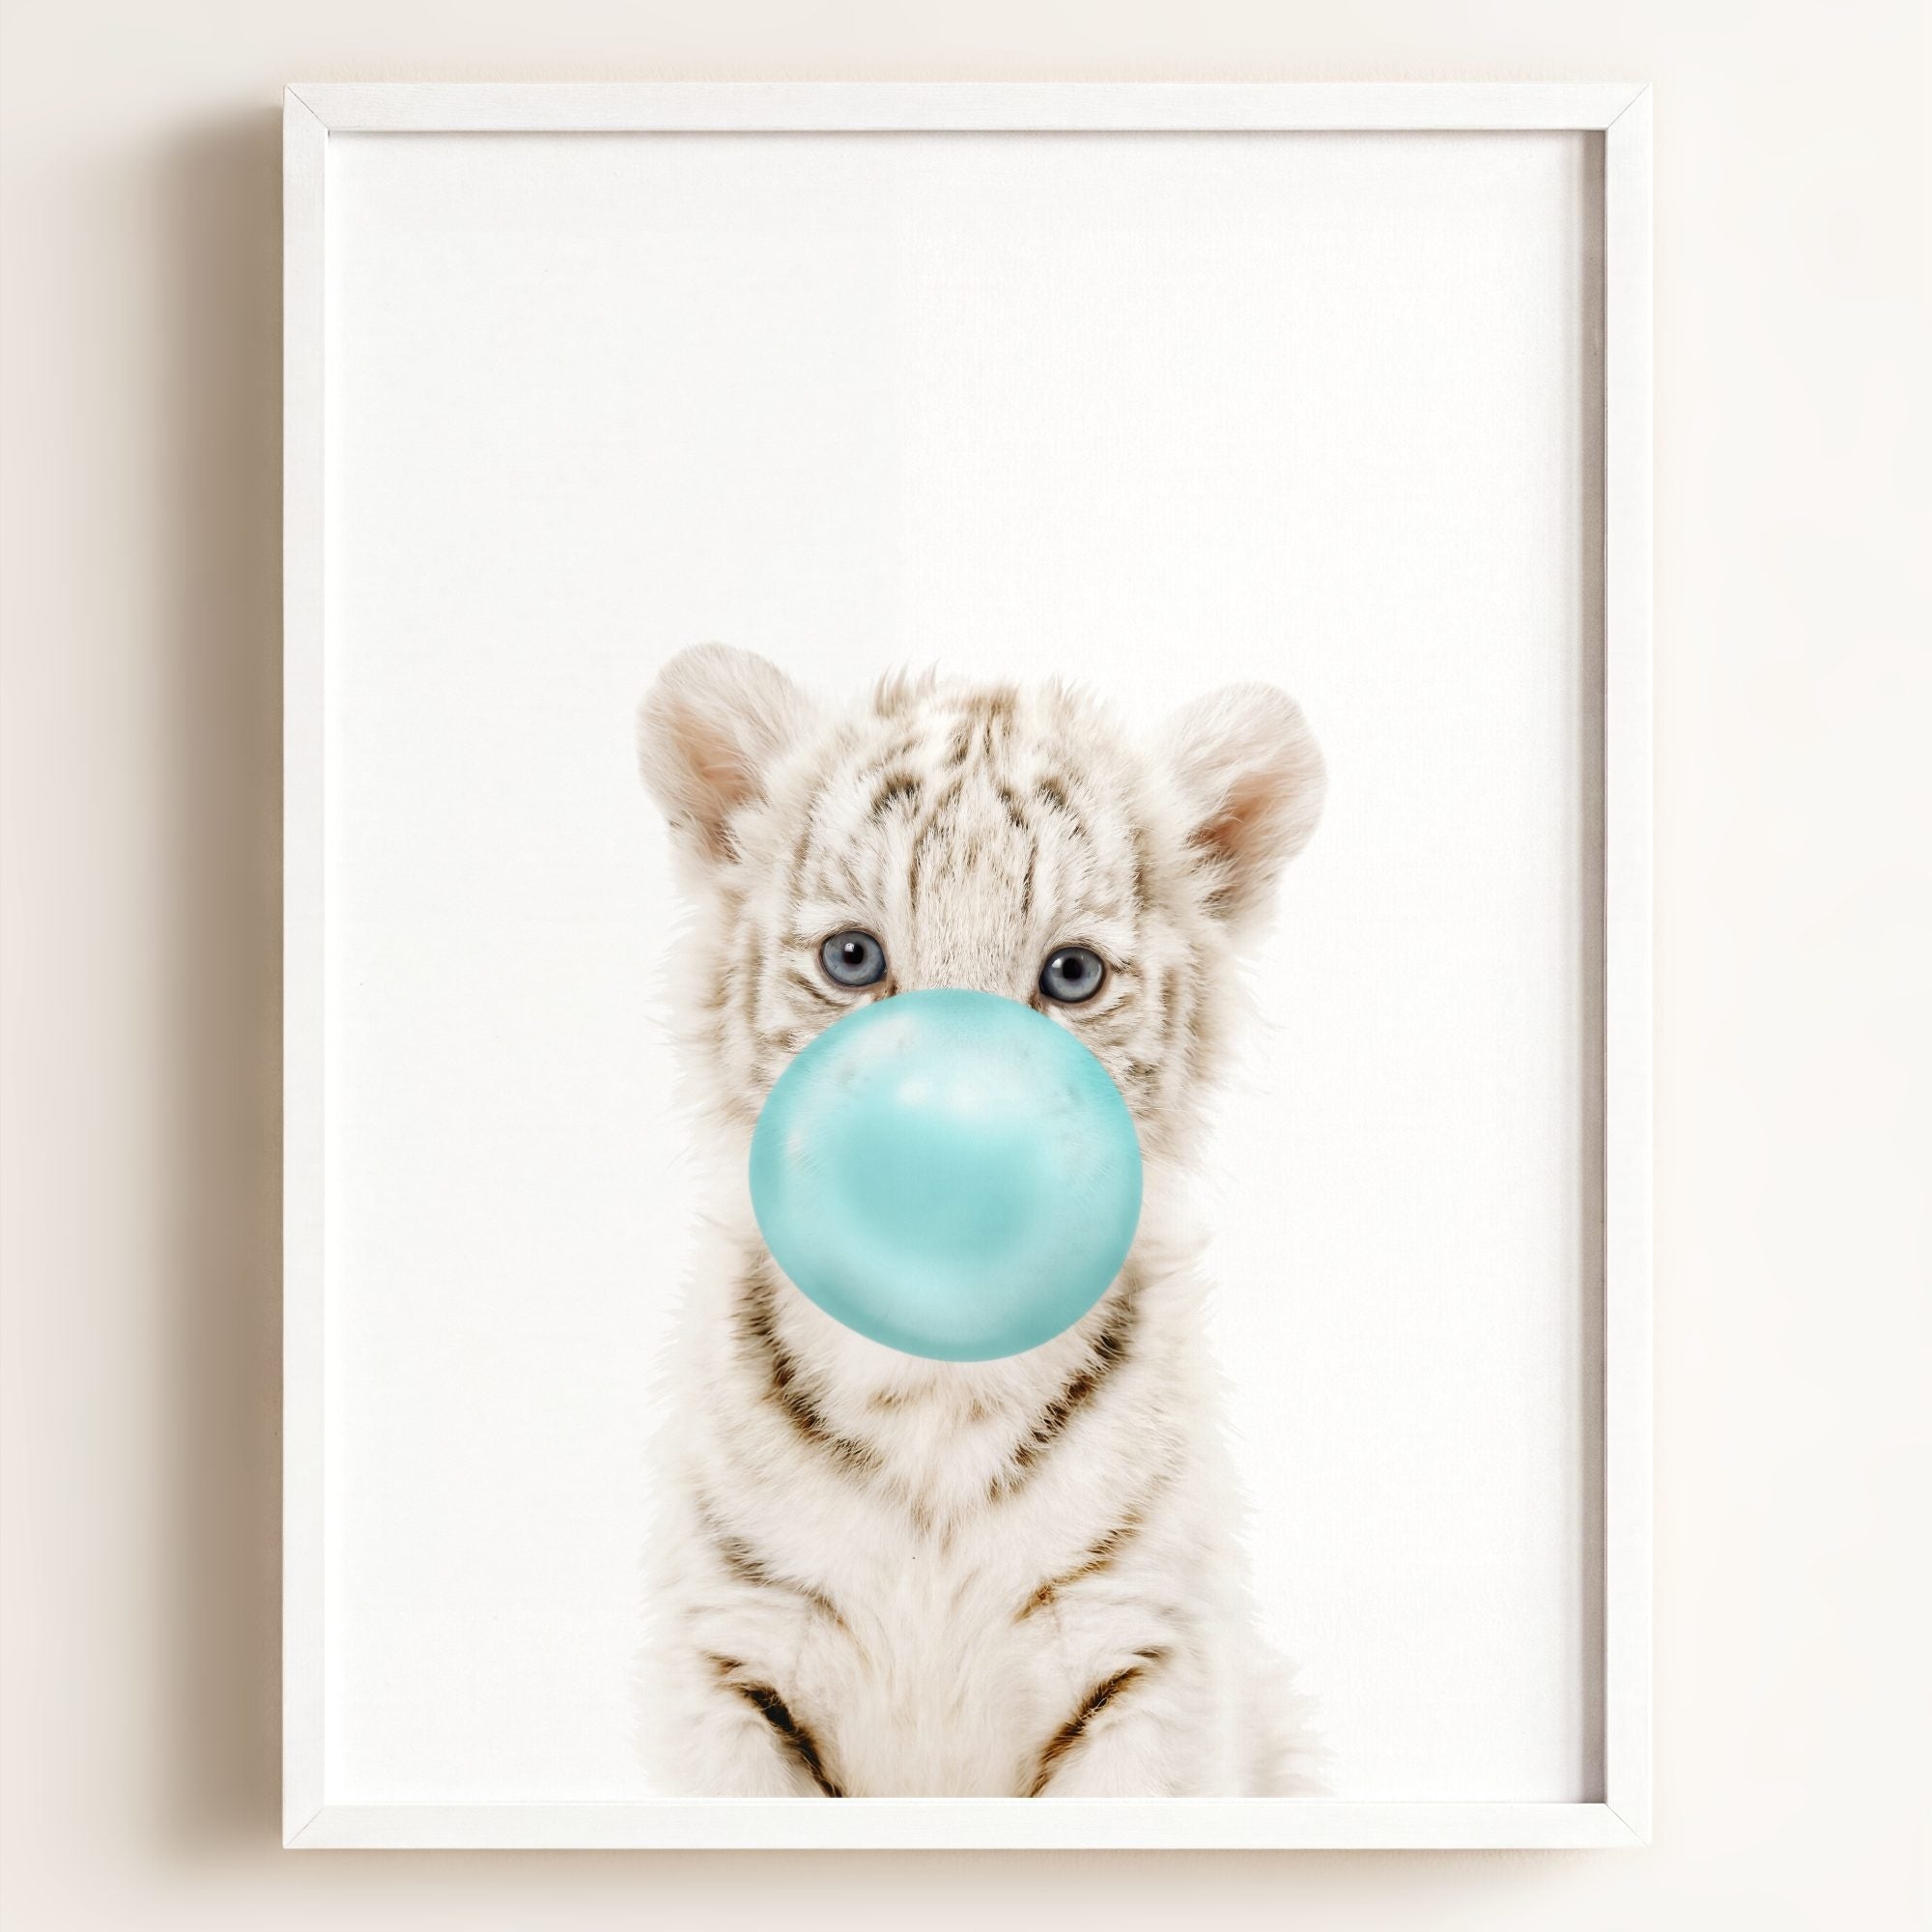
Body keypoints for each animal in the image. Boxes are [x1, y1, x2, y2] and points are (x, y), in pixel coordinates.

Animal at [633, 642, 1327, 1798]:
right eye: (853, 959)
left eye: (1071, 974)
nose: (949, 1156)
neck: (934, 1395)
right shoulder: (730, 1657)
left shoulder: (1145, 1660)